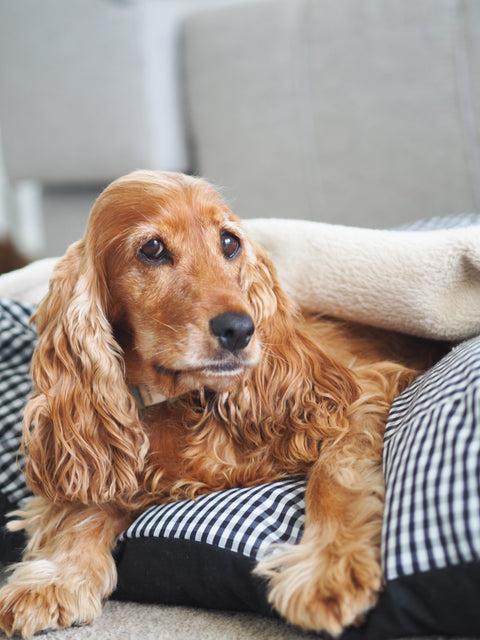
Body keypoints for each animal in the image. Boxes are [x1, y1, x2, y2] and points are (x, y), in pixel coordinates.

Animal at [0, 171, 442, 640]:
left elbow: (332, 475)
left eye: (229, 242)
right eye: (151, 249)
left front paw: (329, 568)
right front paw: (57, 578)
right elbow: (88, 507)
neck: (186, 400)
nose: (241, 329)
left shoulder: (364, 391)